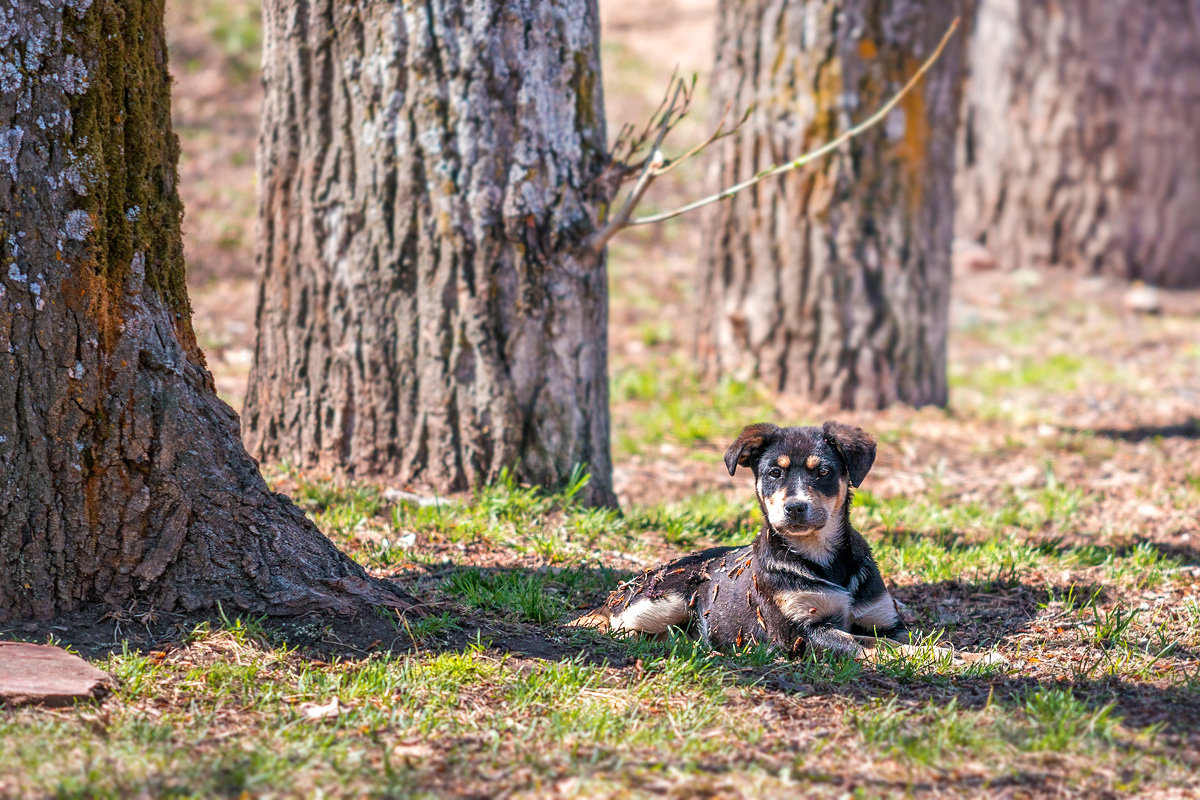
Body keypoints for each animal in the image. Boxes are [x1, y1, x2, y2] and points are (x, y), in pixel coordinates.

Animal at [571, 422, 907, 662]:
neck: (822, 556)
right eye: (774, 472)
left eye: (823, 472)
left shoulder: (886, 620)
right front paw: (920, 655)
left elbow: (888, 639)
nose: (795, 507)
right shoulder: (802, 632)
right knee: (613, 625)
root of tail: (624, 588)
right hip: (663, 601)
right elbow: (870, 644)